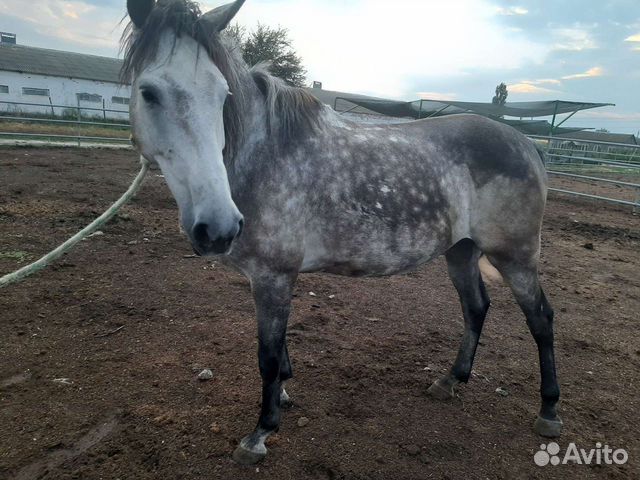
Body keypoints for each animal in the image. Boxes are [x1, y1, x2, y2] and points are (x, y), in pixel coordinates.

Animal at [122, 0, 564, 464]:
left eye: (223, 94)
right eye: (148, 92)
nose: (218, 228)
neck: (266, 155)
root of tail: (526, 144)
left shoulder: (273, 276)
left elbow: (267, 356)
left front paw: (260, 432)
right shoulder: (271, 279)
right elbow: (281, 353)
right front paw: (283, 397)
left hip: (515, 256)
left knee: (540, 318)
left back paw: (548, 410)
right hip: (461, 251)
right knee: (476, 308)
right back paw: (450, 380)